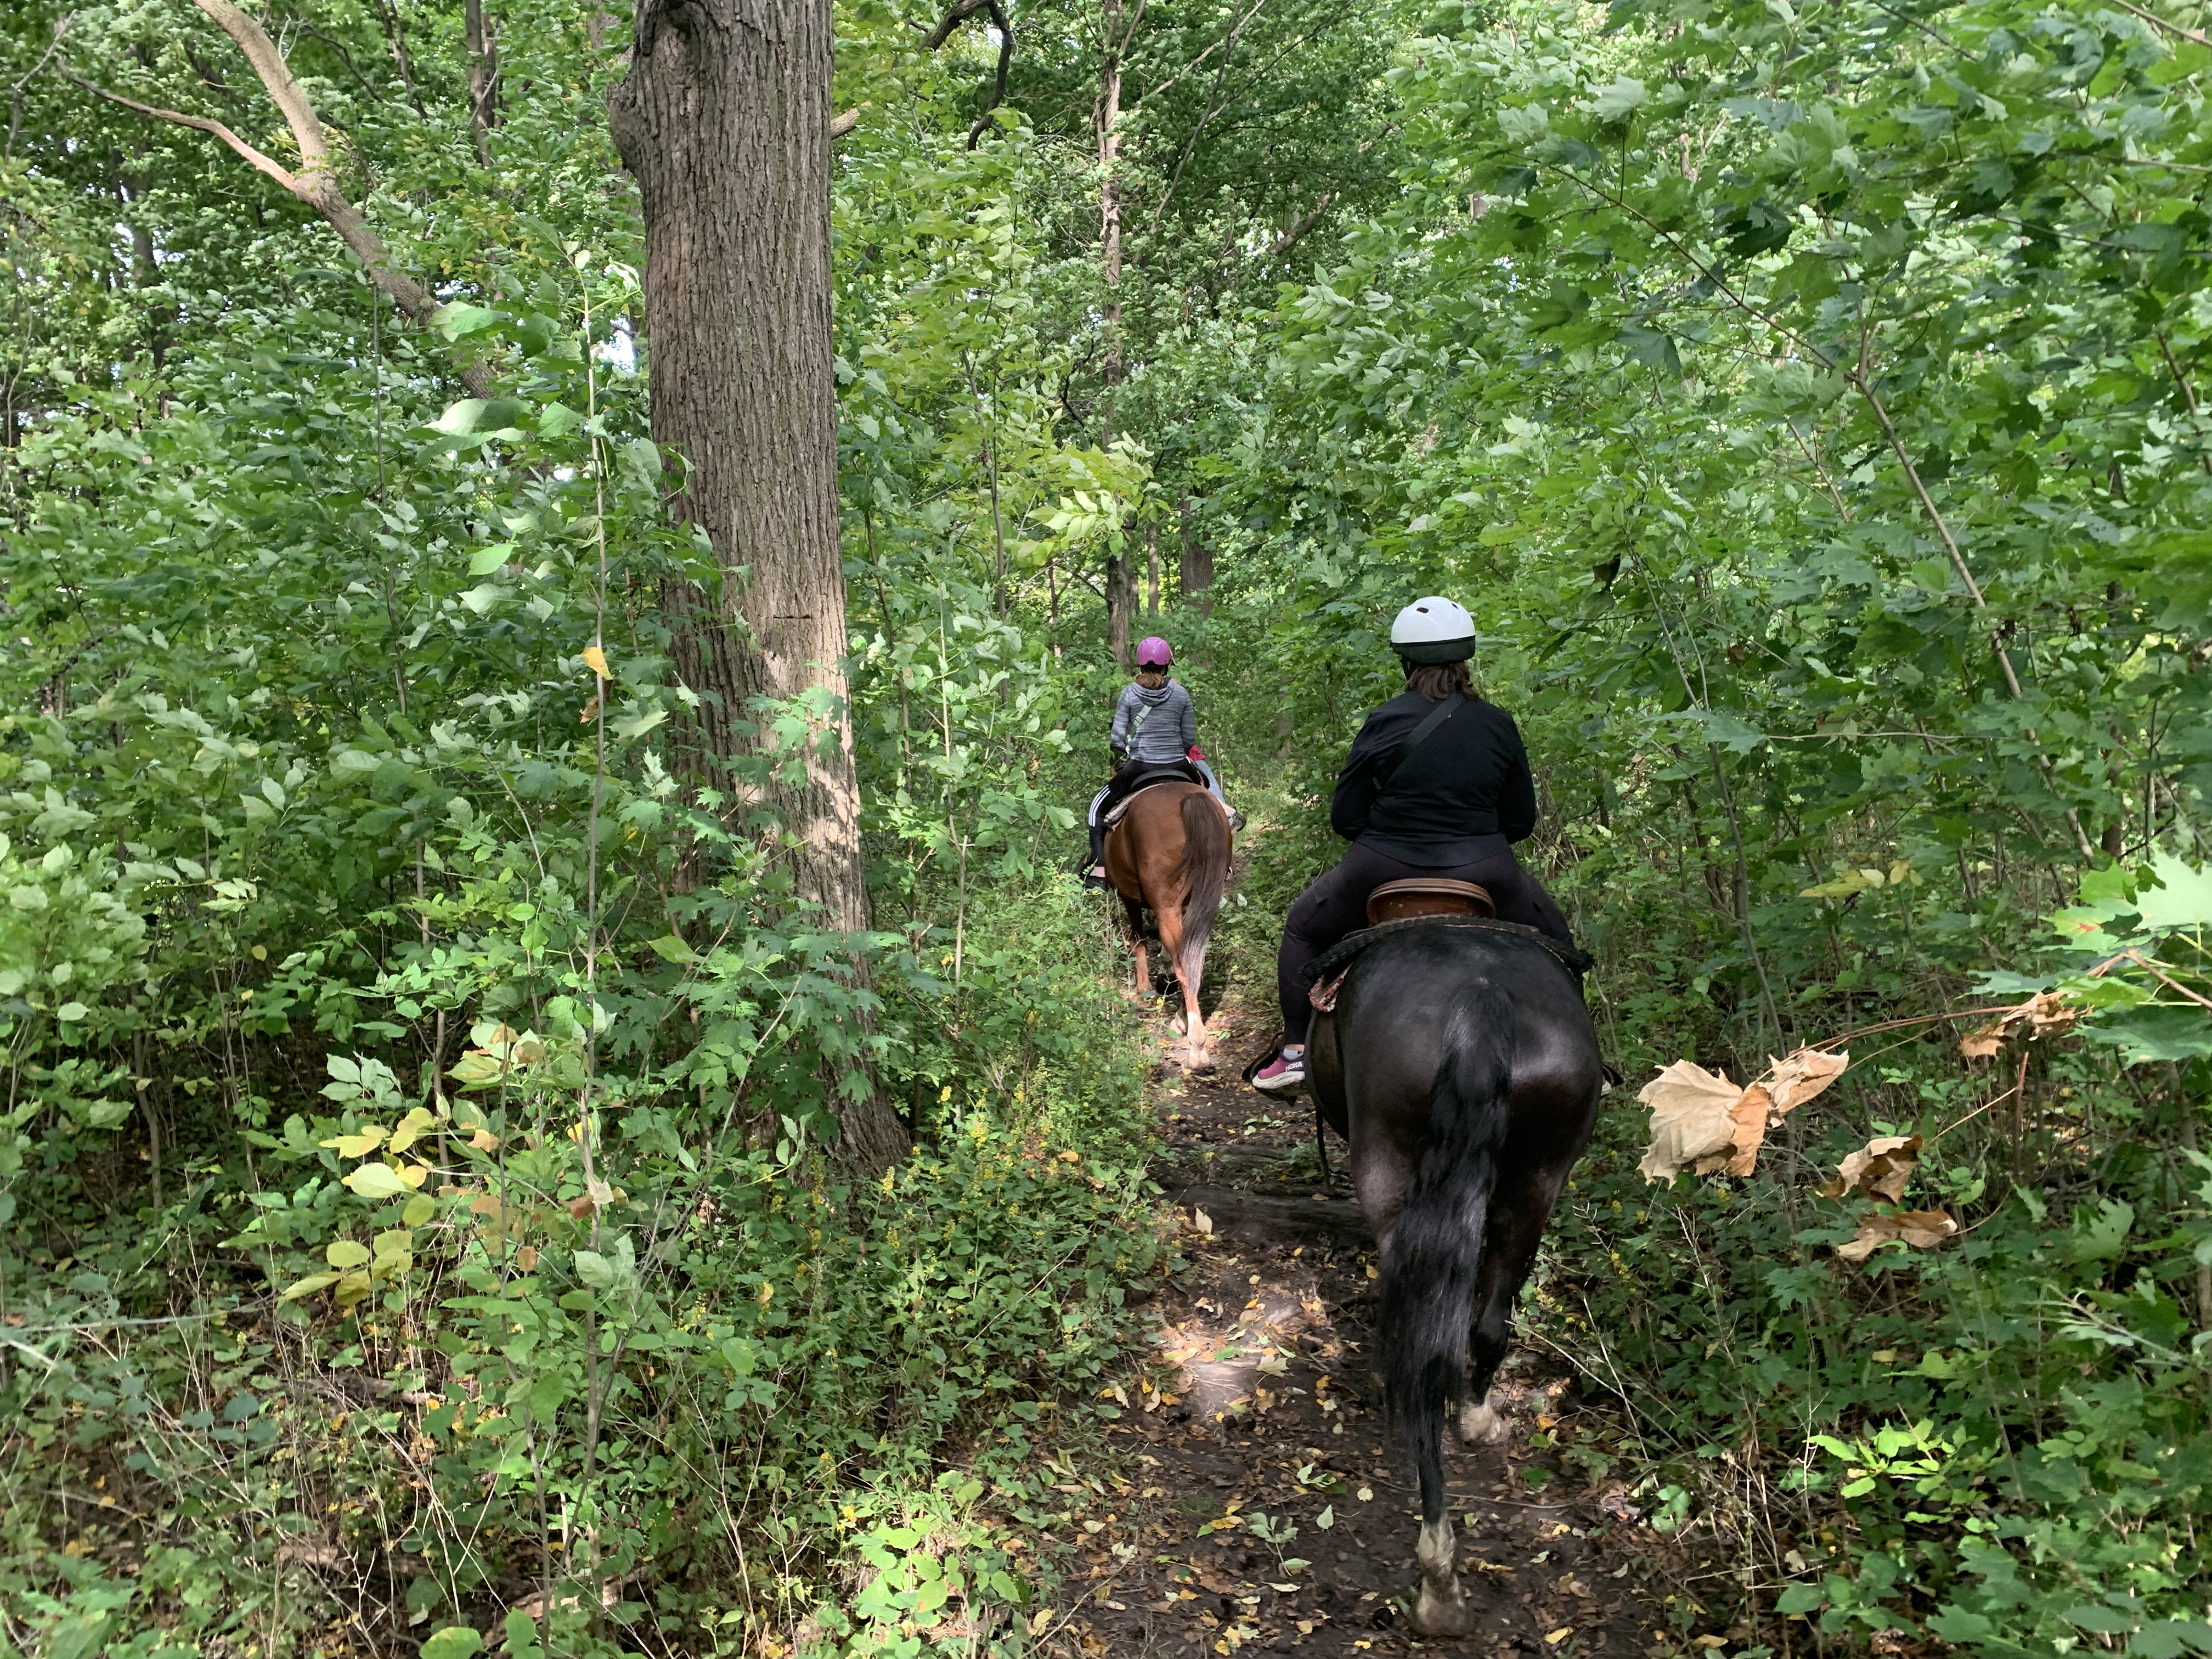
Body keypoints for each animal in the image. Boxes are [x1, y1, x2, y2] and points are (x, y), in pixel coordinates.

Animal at [1101, 783, 1238, 1066]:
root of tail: (1190, 799)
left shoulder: (1130, 899)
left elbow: (1139, 941)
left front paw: (1144, 990)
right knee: (1193, 960)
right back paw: (1183, 1022)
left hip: (1166, 905)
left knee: (1184, 965)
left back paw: (1197, 1046)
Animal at [1300, 929, 1601, 1645]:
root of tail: (1481, 994)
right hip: (1537, 1181)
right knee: (1485, 1324)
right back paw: (1476, 1423)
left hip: (1389, 1167)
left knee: (1421, 1351)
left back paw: (1437, 1573)